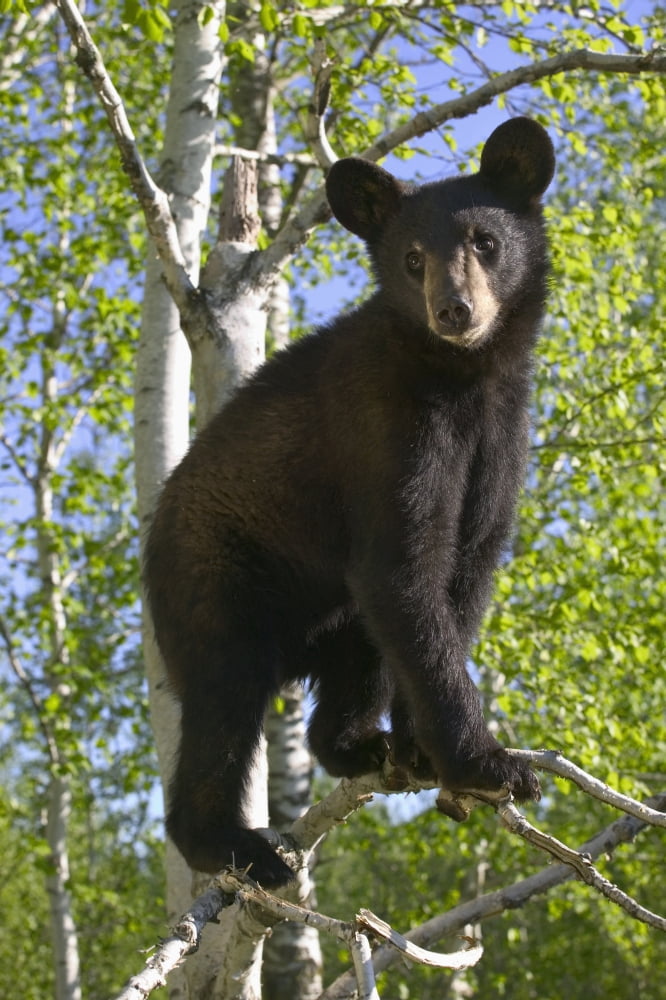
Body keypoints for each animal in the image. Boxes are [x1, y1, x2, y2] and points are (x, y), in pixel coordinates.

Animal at [143, 116, 555, 888]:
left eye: (485, 241)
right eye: (412, 258)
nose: (454, 309)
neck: (463, 377)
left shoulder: (502, 435)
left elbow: (462, 575)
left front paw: (425, 749)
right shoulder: (390, 427)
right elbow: (402, 567)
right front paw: (486, 762)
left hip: (326, 614)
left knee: (360, 646)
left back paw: (357, 745)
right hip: (212, 578)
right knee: (224, 694)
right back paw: (238, 846)